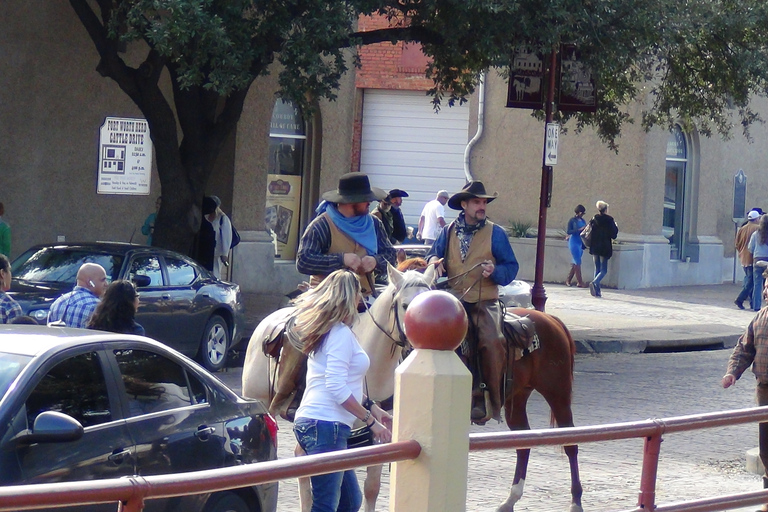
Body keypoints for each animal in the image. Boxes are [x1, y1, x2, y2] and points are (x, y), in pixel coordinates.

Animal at [496, 308, 584, 512]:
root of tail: (549, 318)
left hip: (558, 395)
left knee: (571, 444)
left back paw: (576, 501)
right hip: (517, 399)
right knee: (523, 443)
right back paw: (511, 499)